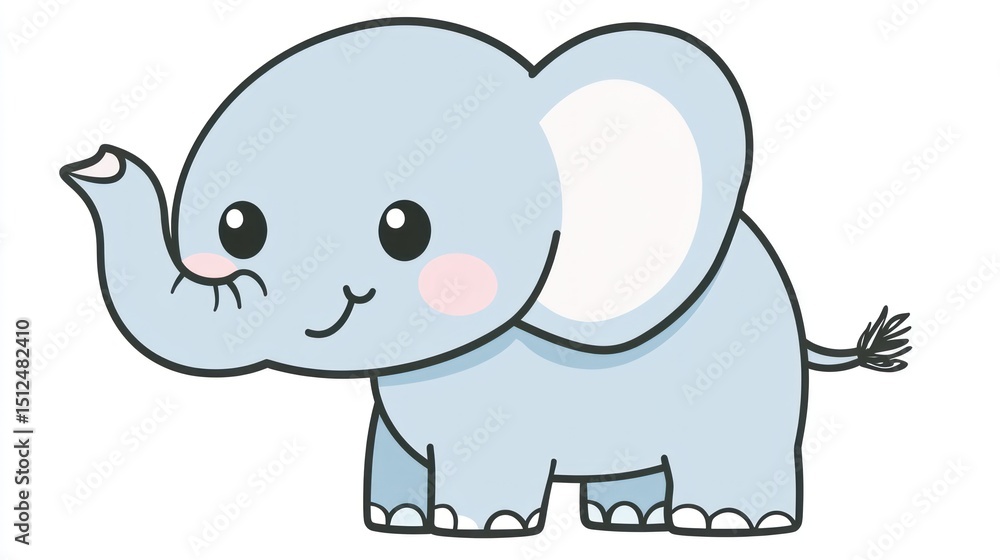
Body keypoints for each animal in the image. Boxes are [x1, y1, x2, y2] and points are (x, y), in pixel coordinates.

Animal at [60, 19, 911, 537]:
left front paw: (480, 529)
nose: (92, 162)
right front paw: (399, 525)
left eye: (404, 230)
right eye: (239, 227)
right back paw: (624, 521)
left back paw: (725, 526)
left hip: (755, 378)